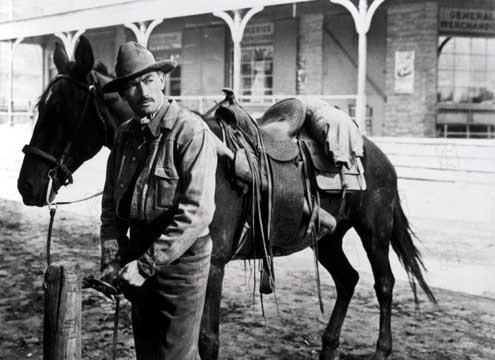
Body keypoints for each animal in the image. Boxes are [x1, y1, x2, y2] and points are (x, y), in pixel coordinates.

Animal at [17, 37, 436, 360]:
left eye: (61, 110)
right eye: (40, 107)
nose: (27, 186)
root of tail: (376, 153)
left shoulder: (214, 265)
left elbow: (207, 342)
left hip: (373, 231)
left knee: (384, 284)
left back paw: (381, 350)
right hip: (329, 237)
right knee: (349, 280)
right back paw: (328, 346)